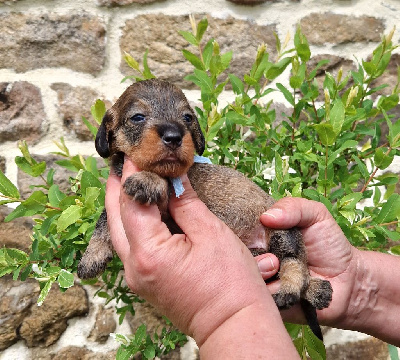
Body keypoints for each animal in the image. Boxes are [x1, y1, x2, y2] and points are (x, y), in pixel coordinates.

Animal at [77, 79, 332, 340]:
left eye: (187, 117)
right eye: (138, 117)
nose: (174, 136)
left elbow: (163, 178)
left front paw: (147, 179)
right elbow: (103, 221)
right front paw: (92, 256)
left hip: (281, 230)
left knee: (295, 263)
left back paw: (293, 290)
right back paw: (316, 290)